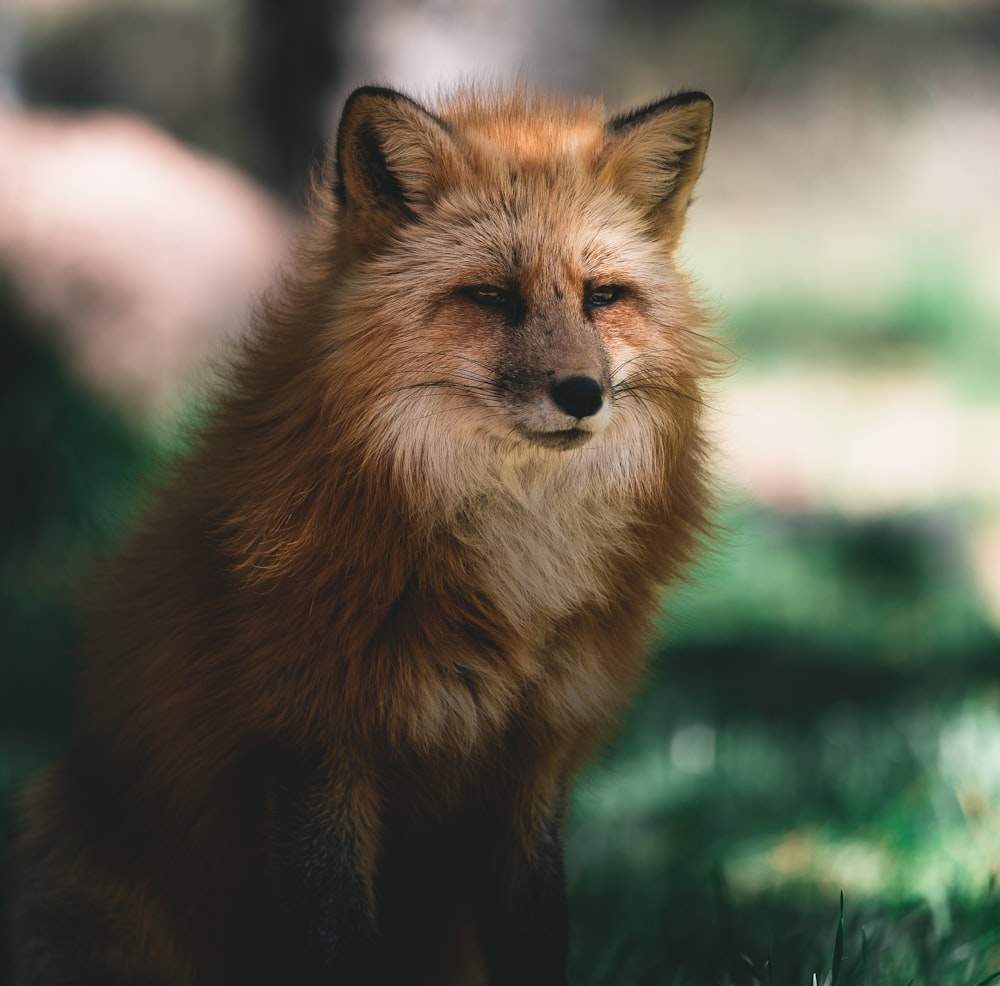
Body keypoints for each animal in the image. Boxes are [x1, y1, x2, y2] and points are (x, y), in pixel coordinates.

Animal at [3, 84, 716, 984]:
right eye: (491, 297)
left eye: (603, 297)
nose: (582, 394)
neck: (514, 572)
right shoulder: (312, 741)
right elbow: (336, 941)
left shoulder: (535, 755)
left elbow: (538, 934)